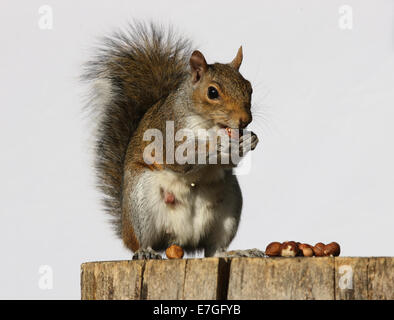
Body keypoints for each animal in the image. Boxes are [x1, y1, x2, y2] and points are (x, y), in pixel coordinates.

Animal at [83, 23, 264, 258]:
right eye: (212, 92)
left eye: (249, 88)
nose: (245, 120)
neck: (208, 124)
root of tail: (182, 240)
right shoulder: (166, 134)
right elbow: (179, 157)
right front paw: (219, 143)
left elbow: (229, 162)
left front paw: (250, 140)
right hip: (141, 201)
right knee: (141, 242)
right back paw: (146, 251)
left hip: (229, 205)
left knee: (214, 249)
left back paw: (236, 253)